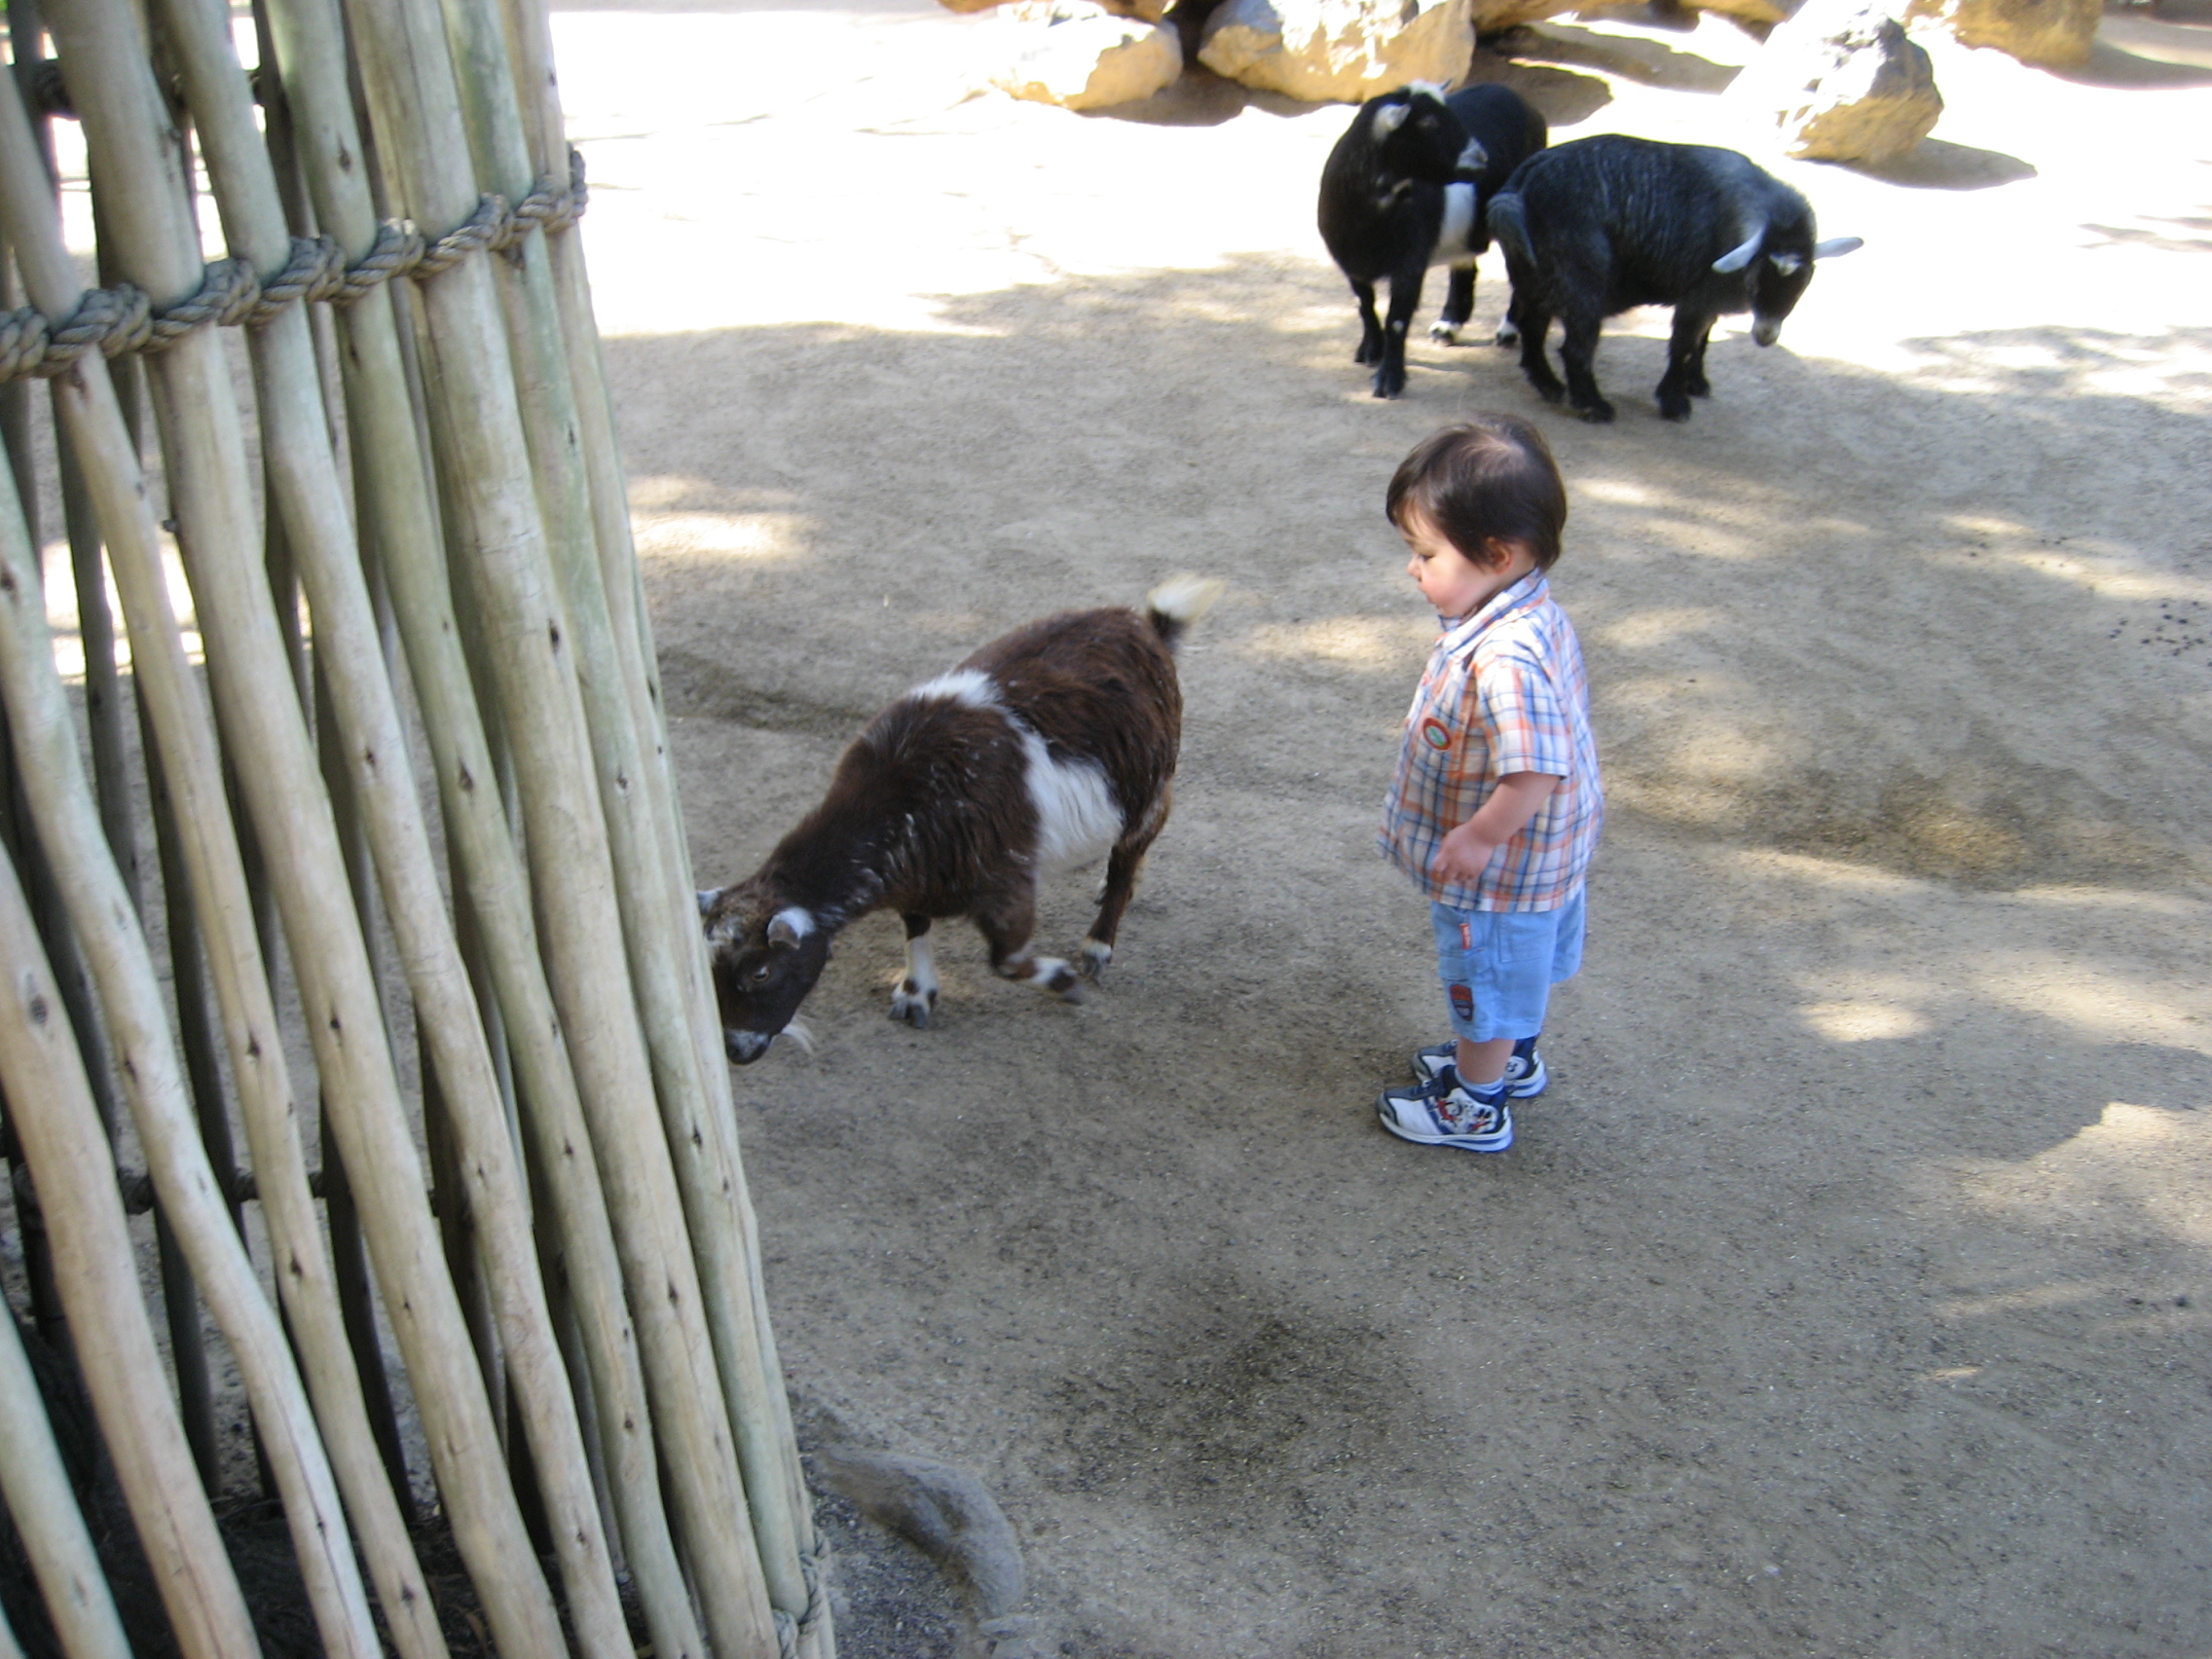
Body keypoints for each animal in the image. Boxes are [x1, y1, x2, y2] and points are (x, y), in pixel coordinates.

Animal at [697, 578, 1224, 1064]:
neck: (907, 795)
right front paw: (916, 994)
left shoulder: (1005, 880)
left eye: (760, 971)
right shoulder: (919, 877)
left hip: (1149, 788)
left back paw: (1099, 942)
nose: (736, 1050)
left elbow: (1005, 961)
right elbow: (915, 925)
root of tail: (1145, 625)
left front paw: (1064, 981)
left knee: (1132, 849)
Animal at [1317, 82, 1548, 399]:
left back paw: (1508, 331)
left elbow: (1397, 319)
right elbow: (1364, 304)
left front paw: (1389, 381)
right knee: (1465, 267)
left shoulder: (1410, 262)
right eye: (1428, 123)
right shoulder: (1350, 262)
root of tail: (1527, 105)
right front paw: (1370, 351)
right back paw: (1448, 326)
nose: (1482, 160)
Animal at [1486, 134, 1863, 423]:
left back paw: (1549, 385)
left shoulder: (1709, 302)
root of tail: (1520, 188)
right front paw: (1674, 401)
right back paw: (1593, 405)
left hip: (1534, 278)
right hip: (1580, 283)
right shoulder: (1697, 297)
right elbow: (1682, 345)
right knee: (1576, 348)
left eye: (1802, 285)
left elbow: (1702, 341)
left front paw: (1697, 382)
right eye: (1756, 279)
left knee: (1532, 328)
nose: (1766, 335)